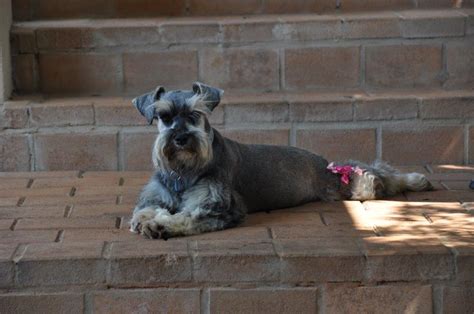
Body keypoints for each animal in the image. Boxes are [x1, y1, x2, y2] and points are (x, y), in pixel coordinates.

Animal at [130, 82, 434, 239]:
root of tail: (323, 162)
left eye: (194, 114)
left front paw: (161, 225)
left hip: (351, 183)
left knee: (376, 175)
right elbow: (146, 209)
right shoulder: (156, 196)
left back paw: (416, 179)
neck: (183, 172)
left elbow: (188, 217)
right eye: (164, 117)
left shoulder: (219, 206)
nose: (180, 138)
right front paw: (145, 220)